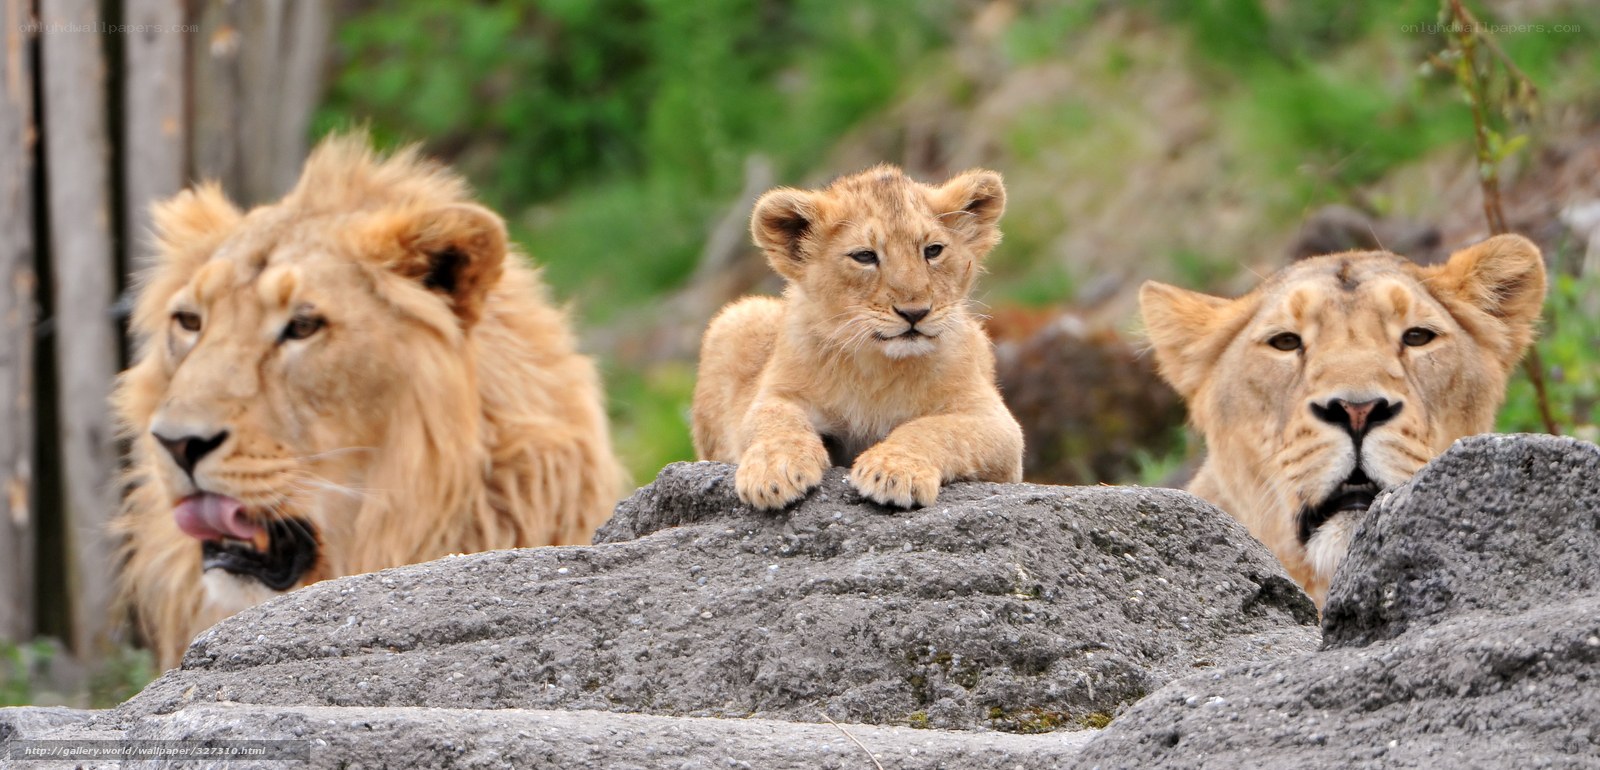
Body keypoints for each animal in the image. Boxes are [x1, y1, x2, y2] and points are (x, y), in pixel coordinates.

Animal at [691, 165, 1024, 510]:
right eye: (864, 256)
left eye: (933, 250)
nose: (915, 312)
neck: (877, 367)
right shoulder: (776, 394)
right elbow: (775, 421)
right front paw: (774, 471)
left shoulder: (997, 426)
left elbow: (933, 429)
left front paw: (893, 471)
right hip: (737, 316)